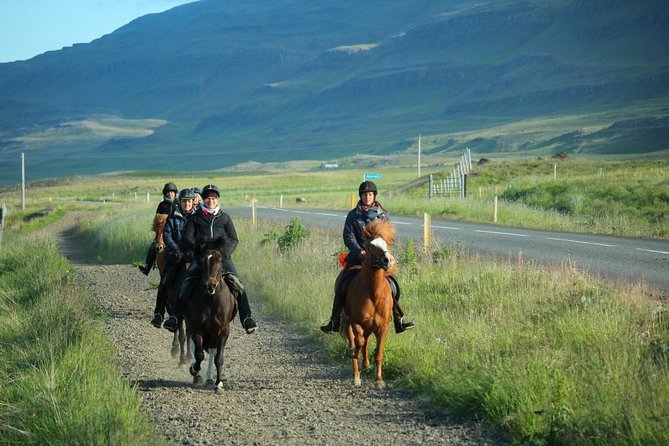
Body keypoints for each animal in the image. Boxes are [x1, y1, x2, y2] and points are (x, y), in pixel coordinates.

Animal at [184, 235, 237, 393]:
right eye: (202, 260)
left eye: (219, 260)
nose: (210, 285)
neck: (211, 300)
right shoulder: (196, 327)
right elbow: (199, 354)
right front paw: (194, 370)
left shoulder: (223, 330)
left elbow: (218, 358)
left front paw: (218, 384)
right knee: (194, 347)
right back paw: (198, 375)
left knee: (212, 351)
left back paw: (209, 378)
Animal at [340, 219, 397, 388]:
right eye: (370, 246)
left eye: (386, 244)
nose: (388, 260)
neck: (373, 293)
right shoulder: (356, 322)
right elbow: (358, 343)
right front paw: (356, 373)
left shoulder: (383, 327)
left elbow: (378, 353)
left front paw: (379, 380)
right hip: (348, 321)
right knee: (355, 341)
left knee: (365, 341)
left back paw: (365, 364)